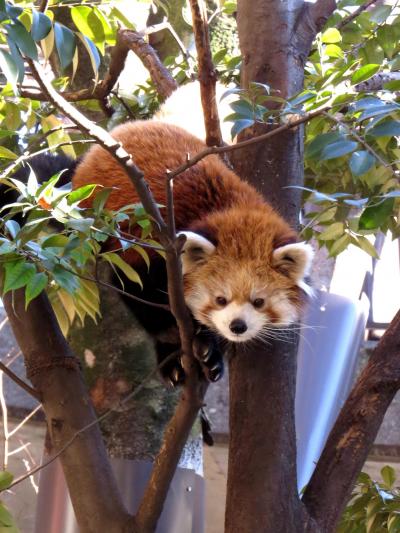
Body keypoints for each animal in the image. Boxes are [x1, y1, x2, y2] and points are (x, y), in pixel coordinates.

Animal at [73, 119, 314, 382]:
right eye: (220, 299)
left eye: (259, 301)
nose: (237, 326)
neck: (228, 209)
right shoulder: (152, 253)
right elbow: (137, 292)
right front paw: (180, 340)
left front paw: (210, 350)